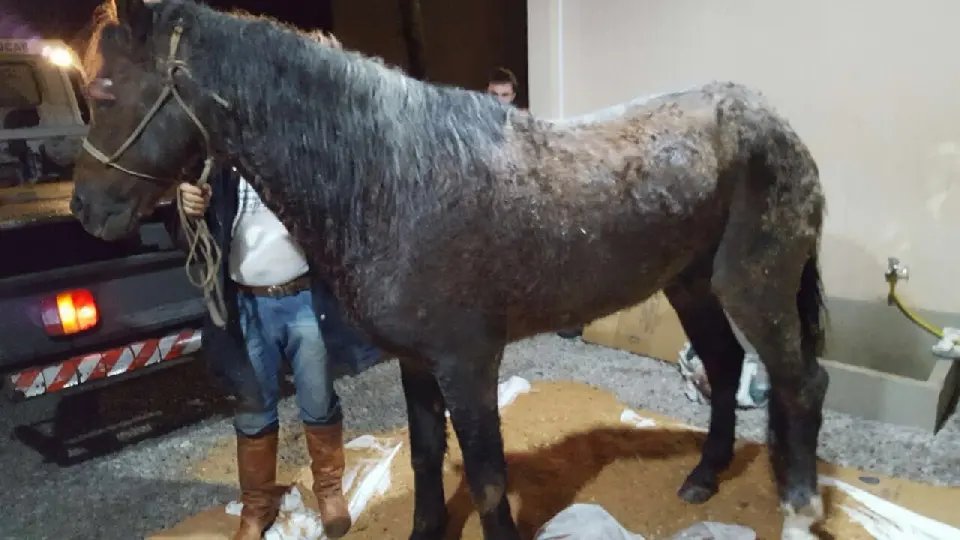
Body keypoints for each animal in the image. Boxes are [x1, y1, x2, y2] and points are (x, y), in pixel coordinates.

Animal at [70, 1, 830, 539]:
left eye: (105, 91)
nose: (85, 209)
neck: (392, 178)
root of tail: (775, 123)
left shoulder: (468, 362)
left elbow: (489, 480)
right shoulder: (416, 361)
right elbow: (429, 458)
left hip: (755, 286)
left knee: (800, 383)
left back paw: (800, 509)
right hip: (690, 284)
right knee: (727, 366)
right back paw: (704, 476)